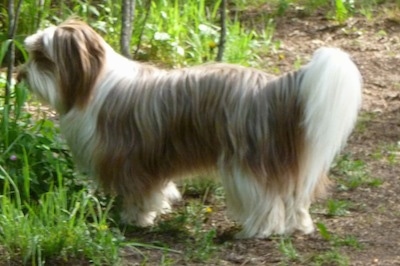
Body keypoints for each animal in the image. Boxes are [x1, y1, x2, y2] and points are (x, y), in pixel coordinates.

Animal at [18, 19, 362, 239]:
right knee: (295, 196)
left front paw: (135, 220)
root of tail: (270, 87)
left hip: (245, 163)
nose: (20, 74)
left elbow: (138, 194)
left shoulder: (130, 158)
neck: (90, 83)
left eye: (42, 57)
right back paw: (299, 225)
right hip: (282, 156)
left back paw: (261, 230)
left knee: (266, 198)